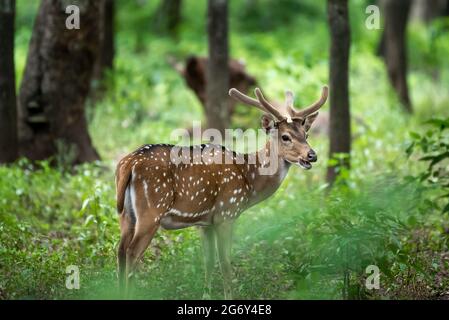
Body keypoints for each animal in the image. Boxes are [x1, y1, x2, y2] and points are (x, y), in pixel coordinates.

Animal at [114, 85, 328, 300]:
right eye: (285, 137)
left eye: (306, 135)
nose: (312, 155)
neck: (249, 178)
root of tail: (129, 164)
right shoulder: (227, 212)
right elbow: (225, 262)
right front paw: (229, 297)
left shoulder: (205, 222)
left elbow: (208, 261)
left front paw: (206, 295)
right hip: (151, 210)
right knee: (132, 253)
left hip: (126, 214)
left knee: (121, 251)